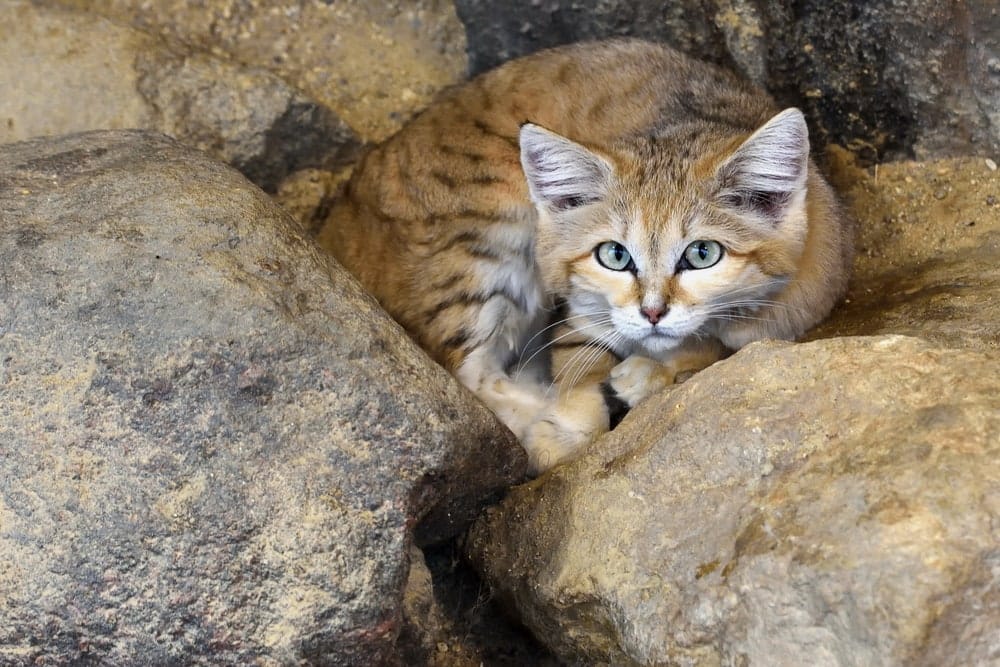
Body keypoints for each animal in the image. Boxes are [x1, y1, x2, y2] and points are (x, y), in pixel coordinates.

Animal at [318, 39, 852, 474]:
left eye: (703, 254)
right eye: (615, 256)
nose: (652, 312)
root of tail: (336, 218)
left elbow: (714, 346)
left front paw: (648, 372)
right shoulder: (580, 310)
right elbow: (576, 369)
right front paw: (570, 422)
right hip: (486, 243)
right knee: (471, 376)